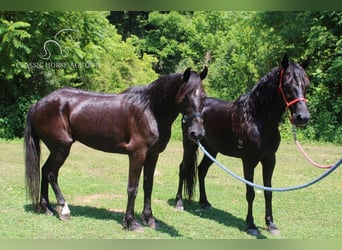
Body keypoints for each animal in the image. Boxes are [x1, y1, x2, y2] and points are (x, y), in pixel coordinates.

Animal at [25, 66, 207, 230]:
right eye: (186, 96)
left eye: (204, 97)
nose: (197, 133)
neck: (150, 109)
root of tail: (37, 104)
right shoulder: (137, 154)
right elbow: (132, 188)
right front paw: (131, 222)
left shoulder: (153, 155)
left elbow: (148, 186)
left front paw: (149, 219)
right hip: (61, 148)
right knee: (51, 174)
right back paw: (63, 210)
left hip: (56, 149)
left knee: (44, 170)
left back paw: (47, 208)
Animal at [175, 55, 312, 236]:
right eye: (287, 84)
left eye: (306, 84)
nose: (302, 117)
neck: (257, 119)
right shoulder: (248, 161)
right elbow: (251, 192)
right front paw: (251, 225)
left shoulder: (270, 160)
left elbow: (268, 191)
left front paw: (271, 224)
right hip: (190, 145)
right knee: (183, 168)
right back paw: (178, 203)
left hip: (212, 150)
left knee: (202, 170)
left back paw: (205, 202)